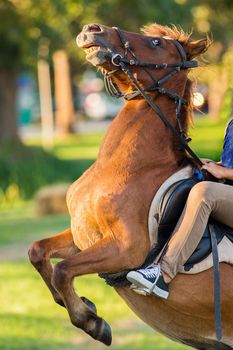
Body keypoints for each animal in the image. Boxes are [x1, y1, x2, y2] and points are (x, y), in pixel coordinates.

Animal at [28, 23, 233, 348]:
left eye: (156, 42)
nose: (92, 29)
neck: (126, 165)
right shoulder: (83, 237)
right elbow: (38, 252)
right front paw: (81, 304)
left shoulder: (125, 249)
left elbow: (62, 271)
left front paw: (92, 321)